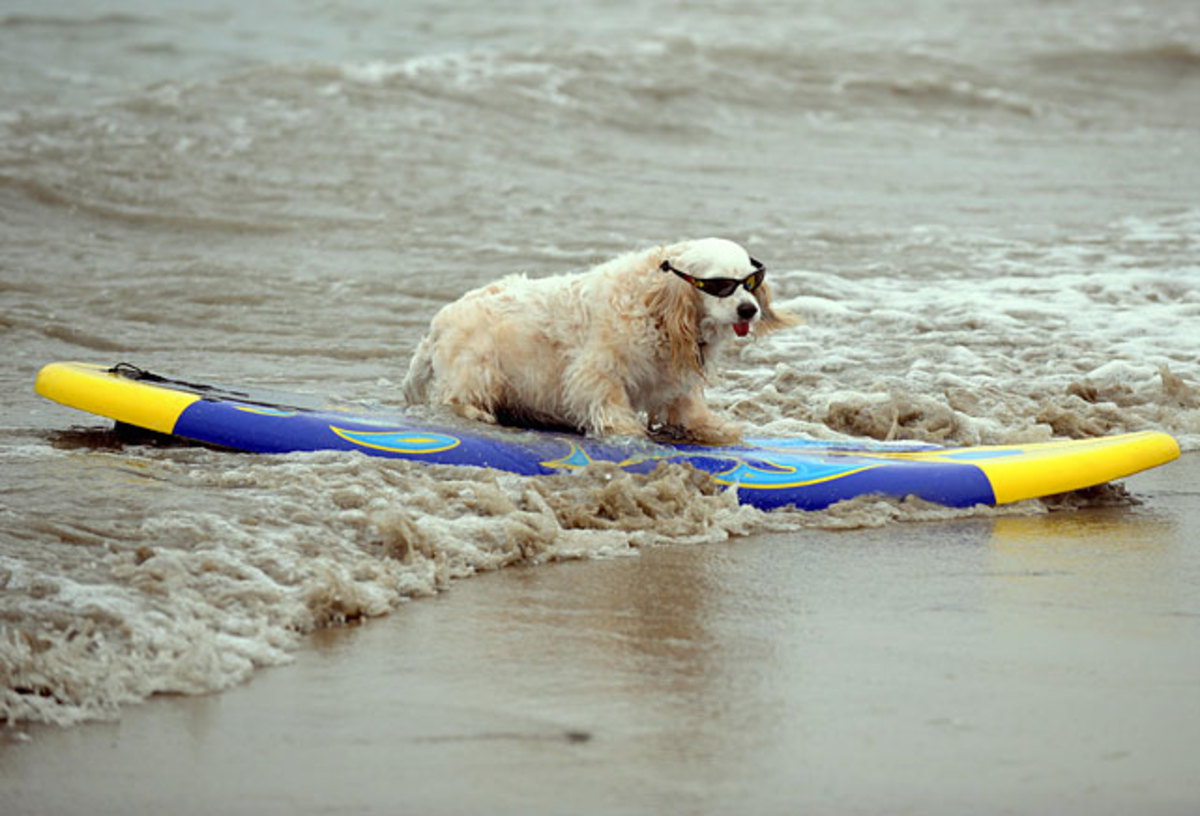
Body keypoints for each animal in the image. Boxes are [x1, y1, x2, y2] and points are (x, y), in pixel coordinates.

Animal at [403, 238, 792, 444]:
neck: (656, 308)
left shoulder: (674, 382)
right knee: (455, 399)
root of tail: (437, 325)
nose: (749, 309)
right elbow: (610, 401)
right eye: (720, 284)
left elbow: (688, 408)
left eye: (751, 282)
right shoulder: (598, 370)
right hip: (479, 372)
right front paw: (627, 431)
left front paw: (714, 429)